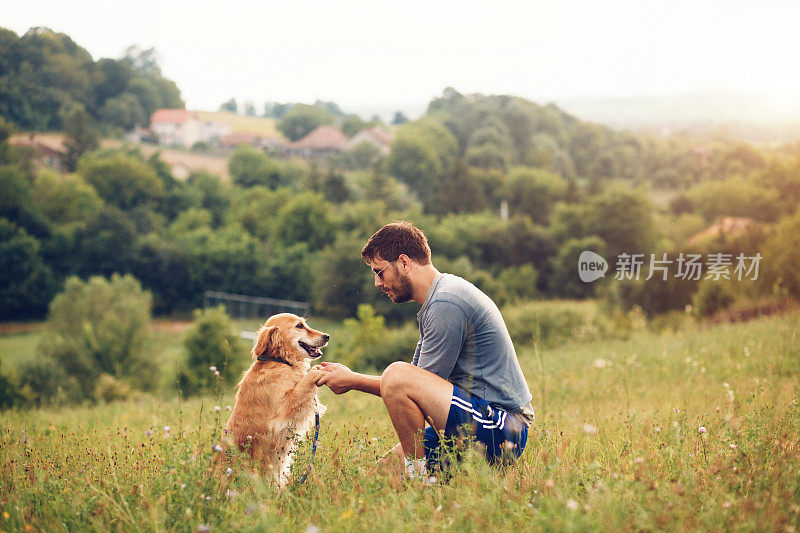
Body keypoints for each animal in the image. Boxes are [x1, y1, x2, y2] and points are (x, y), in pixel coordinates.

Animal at [223, 312, 326, 486]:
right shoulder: (285, 407)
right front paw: (318, 371)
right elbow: (306, 380)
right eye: (299, 325)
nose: (327, 336)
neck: (279, 361)